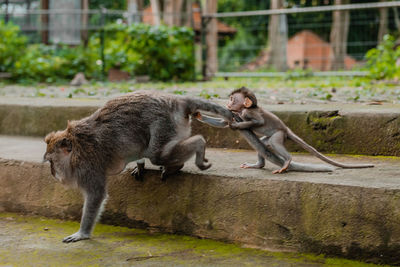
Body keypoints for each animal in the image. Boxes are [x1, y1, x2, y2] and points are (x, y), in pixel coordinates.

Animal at [43, 91, 231, 244]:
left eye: (52, 162)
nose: (52, 173)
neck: (76, 148)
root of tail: (177, 101)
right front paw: (139, 166)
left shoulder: (88, 168)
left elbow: (96, 195)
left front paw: (82, 233)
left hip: (164, 124)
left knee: (157, 155)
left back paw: (196, 146)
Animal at [195, 86, 374, 174]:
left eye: (232, 99)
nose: (227, 102)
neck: (241, 111)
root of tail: (286, 128)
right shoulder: (235, 113)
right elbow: (222, 122)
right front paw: (199, 115)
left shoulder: (248, 112)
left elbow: (257, 121)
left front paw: (237, 126)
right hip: (272, 138)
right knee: (264, 143)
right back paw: (259, 165)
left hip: (279, 134)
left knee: (275, 143)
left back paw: (287, 160)